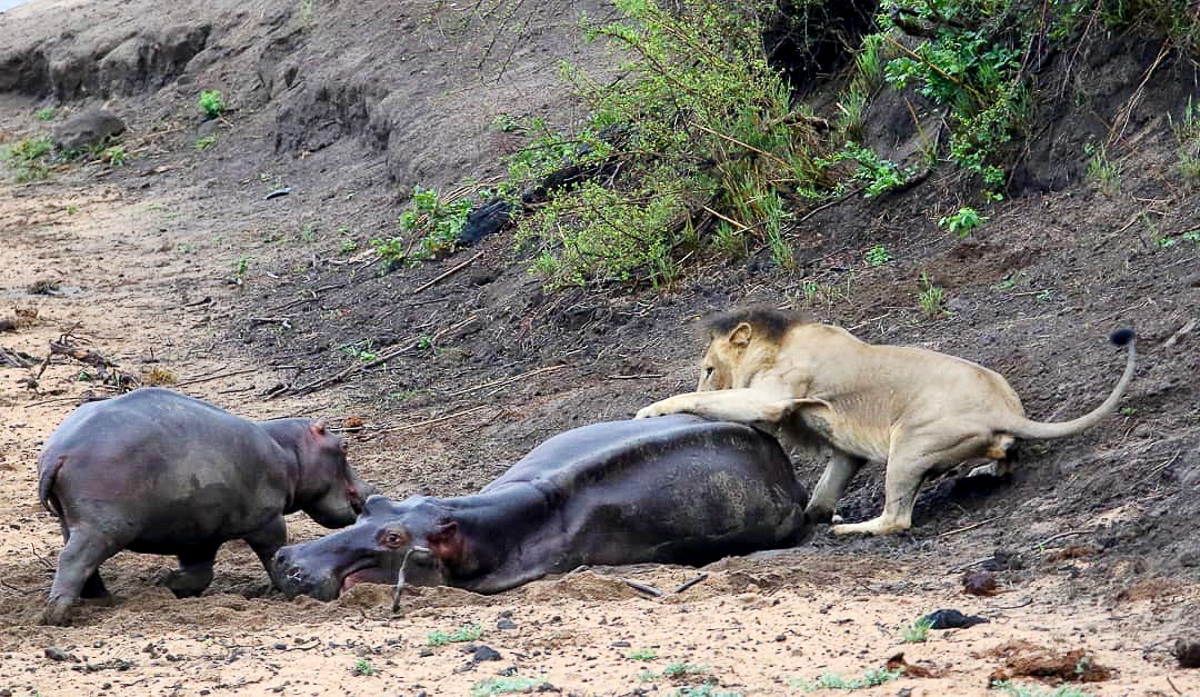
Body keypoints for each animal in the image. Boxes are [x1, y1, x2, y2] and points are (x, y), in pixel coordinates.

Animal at [36, 387, 376, 625]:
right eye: (344, 446)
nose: (370, 491)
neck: (289, 452)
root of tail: (60, 451)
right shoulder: (266, 519)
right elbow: (273, 552)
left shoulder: (199, 532)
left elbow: (201, 572)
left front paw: (167, 583)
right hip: (102, 527)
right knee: (74, 559)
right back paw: (58, 616)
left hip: (74, 521)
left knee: (83, 562)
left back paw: (103, 601)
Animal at [635, 307, 1136, 536]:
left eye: (707, 369)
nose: (702, 376)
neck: (774, 347)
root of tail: (1003, 409)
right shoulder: (845, 450)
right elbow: (826, 488)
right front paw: (815, 514)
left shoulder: (772, 399)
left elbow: (716, 400)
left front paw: (653, 410)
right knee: (1006, 457)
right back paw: (981, 472)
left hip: (909, 445)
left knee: (897, 519)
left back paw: (852, 529)